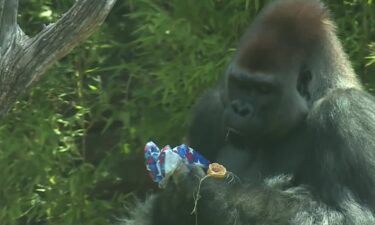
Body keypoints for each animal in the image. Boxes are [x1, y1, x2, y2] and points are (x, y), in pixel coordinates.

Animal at [122, 0, 375, 225]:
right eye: (240, 84)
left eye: (263, 90)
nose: (240, 109)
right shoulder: (209, 110)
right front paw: (171, 204)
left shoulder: (347, 111)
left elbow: (356, 216)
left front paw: (214, 194)